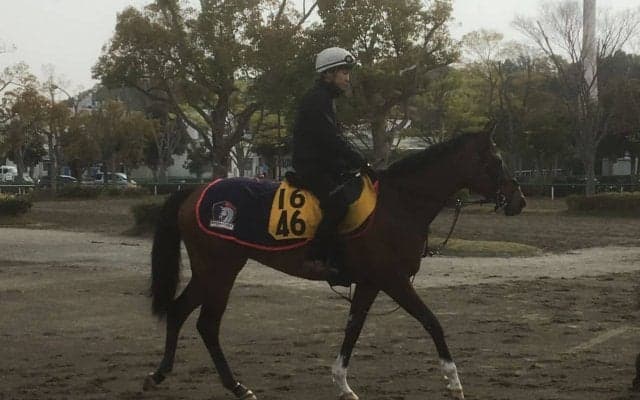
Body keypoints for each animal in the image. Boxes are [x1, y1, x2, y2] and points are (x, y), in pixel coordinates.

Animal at [142, 125, 526, 400]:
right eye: (496, 161)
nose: (519, 199)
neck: (399, 203)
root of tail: (195, 191)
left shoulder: (371, 283)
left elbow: (353, 328)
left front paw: (342, 383)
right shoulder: (394, 280)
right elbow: (432, 322)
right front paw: (453, 381)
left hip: (210, 271)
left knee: (180, 311)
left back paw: (161, 374)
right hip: (220, 270)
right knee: (207, 324)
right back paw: (235, 386)